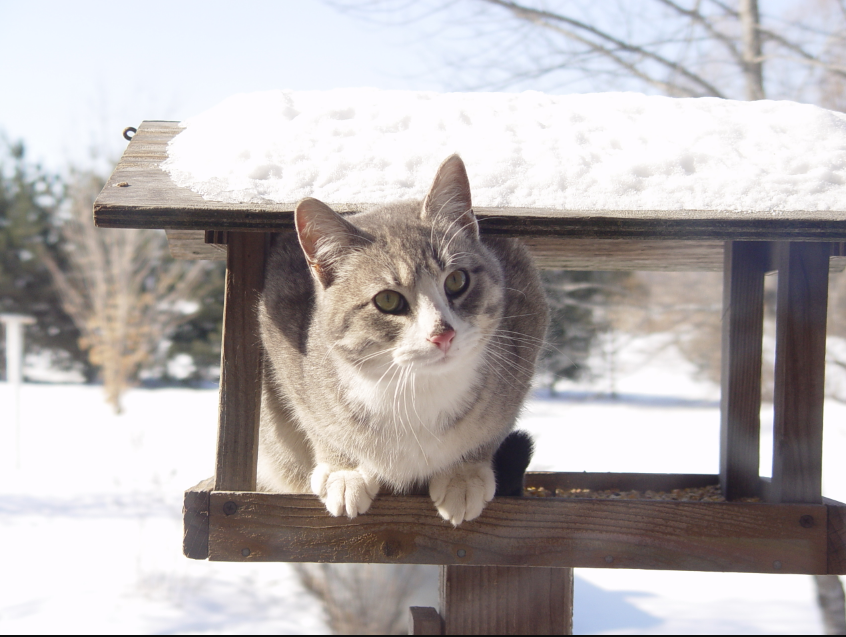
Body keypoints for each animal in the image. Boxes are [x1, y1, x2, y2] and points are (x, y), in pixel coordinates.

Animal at [256, 154, 548, 520]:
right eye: (387, 300)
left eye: (457, 280)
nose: (443, 334)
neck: (413, 391)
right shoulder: (282, 331)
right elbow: (318, 423)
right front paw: (345, 471)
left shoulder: (526, 326)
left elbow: (490, 432)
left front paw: (463, 476)